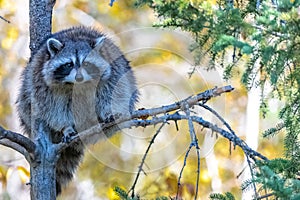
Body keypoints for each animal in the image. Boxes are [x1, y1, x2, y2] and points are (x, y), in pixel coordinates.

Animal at [16, 26, 138, 195]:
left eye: (86, 63)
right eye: (69, 64)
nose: (79, 78)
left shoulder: (113, 71)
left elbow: (113, 93)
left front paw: (108, 112)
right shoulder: (41, 82)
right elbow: (54, 108)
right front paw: (66, 127)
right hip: (26, 101)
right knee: (29, 101)